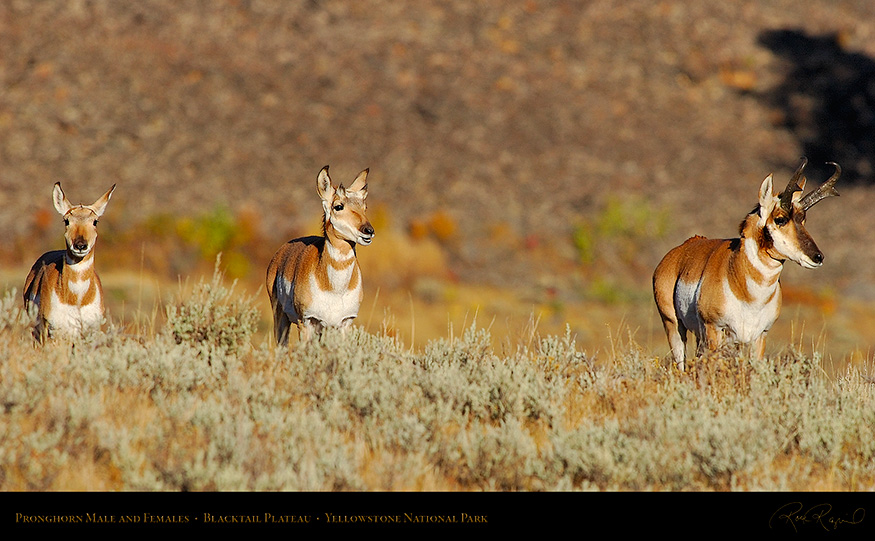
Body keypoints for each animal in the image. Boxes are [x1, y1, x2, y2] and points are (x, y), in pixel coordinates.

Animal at [266, 165, 376, 344]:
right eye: (338, 206)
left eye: (364, 207)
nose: (368, 231)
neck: (334, 289)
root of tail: (281, 251)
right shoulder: (306, 322)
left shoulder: (344, 324)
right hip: (281, 317)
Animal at [652, 158, 840, 370]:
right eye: (780, 219)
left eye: (803, 219)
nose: (817, 257)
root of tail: (679, 251)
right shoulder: (714, 329)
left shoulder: (760, 336)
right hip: (674, 326)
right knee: (681, 363)